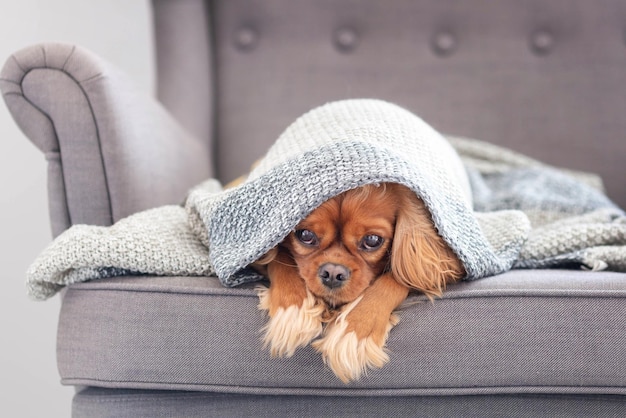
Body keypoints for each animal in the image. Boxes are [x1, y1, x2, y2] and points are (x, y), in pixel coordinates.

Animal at [254, 182, 464, 382]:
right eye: (305, 235)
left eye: (372, 240)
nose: (333, 273)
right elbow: (278, 257)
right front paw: (292, 311)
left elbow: (400, 274)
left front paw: (354, 331)